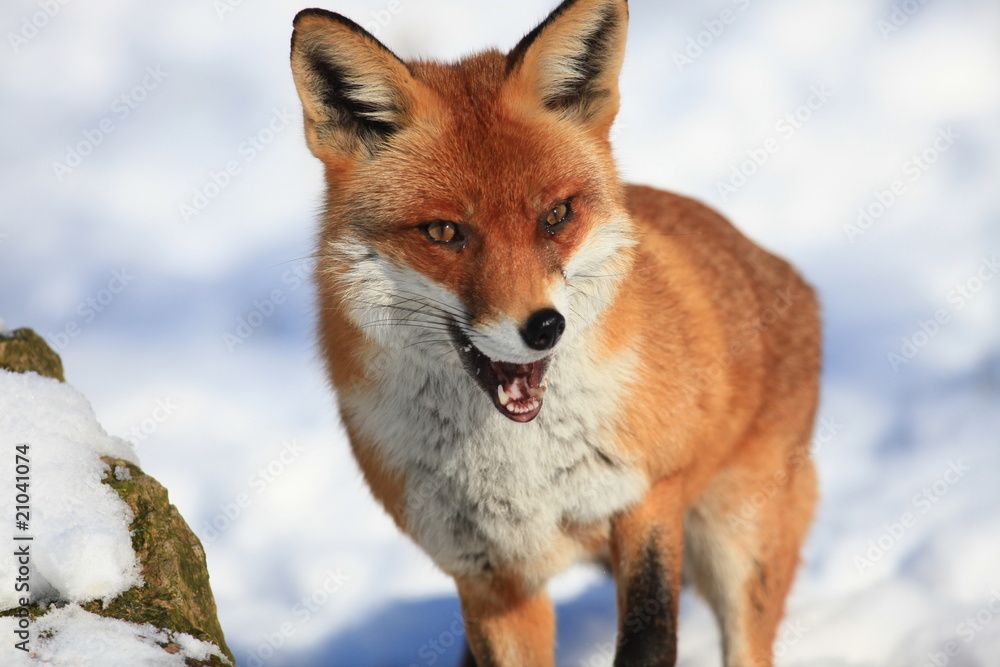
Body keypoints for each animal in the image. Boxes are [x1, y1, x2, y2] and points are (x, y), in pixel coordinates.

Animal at [289, 1, 820, 665]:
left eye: (556, 216)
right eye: (444, 232)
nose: (545, 327)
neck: (520, 468)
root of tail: (778, 266)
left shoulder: (647, 497)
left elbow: (649, 640)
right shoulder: (489, 575)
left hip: (738, 541)